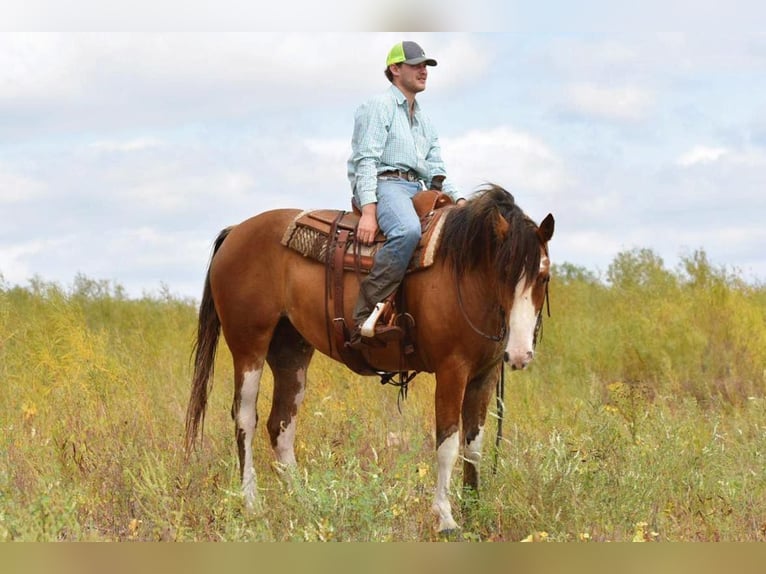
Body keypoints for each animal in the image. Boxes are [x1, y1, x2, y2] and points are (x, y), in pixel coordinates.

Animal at [186, 184, 560, 536]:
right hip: (249, 346)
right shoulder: (451, 371)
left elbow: (474, 445)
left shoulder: (484, 375)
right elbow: (448, 443)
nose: (520, 353)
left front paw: (475, 511)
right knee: (244, 419)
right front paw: (446, 519)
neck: (464, 271)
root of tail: (236, 231)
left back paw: (302, 500)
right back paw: (252, 503)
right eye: (503, 274)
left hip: (291, 350)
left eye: (543, 277)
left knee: (280, 424)